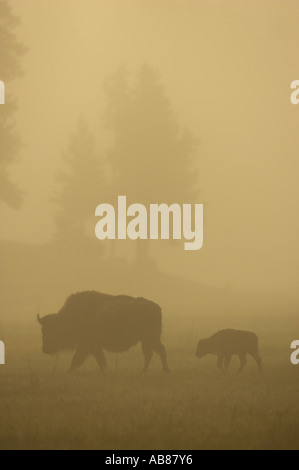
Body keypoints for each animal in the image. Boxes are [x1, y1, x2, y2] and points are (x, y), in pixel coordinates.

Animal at [36, 288, 170, 372]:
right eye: (43, 330)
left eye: (51, 330)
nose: (44, 349)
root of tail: (156, 307)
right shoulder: (93, 347)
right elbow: (100, 360)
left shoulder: (87, 346)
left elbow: (77, 360)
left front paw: (69, 371)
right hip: (147, 339)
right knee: (153, 352)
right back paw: (149, 371)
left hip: (150, 338)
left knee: (156, 351)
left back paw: (159, 370)